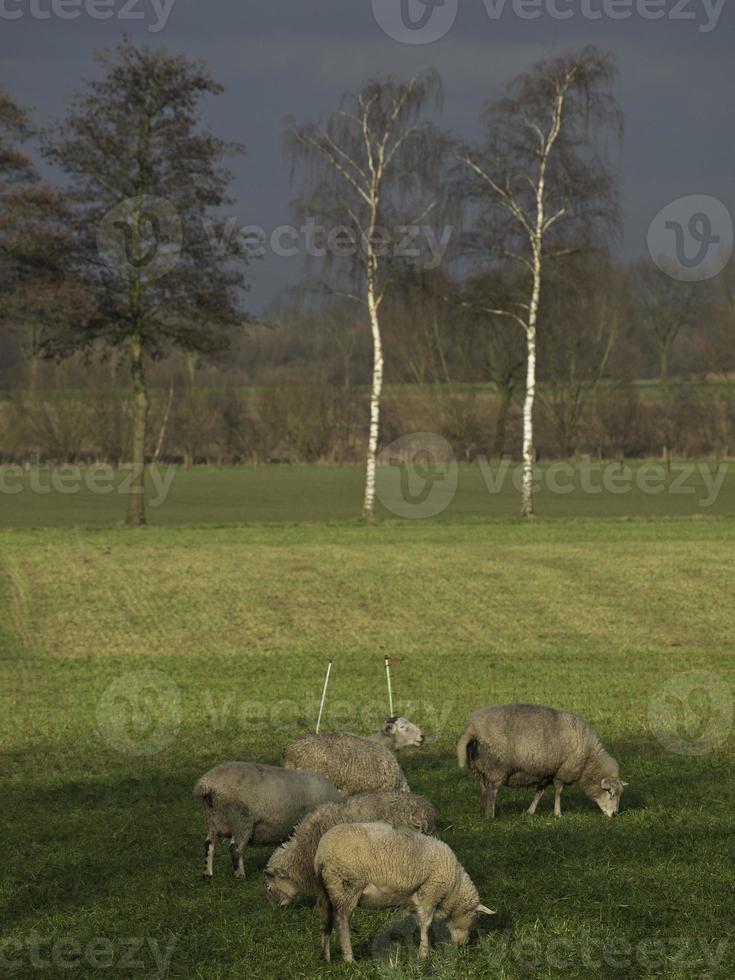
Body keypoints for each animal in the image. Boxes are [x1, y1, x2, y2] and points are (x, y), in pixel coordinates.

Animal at [190, 756, 340, 880]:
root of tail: (207, 783)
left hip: (213, 820)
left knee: (209, 845)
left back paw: (207, 874)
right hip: (240, 820)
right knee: (235, 848)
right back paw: (240, 875)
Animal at [312, 824, 494, 960]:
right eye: (475, 917)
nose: (463, 946)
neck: (454, 888)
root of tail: (321, 854)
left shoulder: (415, 899)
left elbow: (419, 922)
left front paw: (422, 945)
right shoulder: (430, 891)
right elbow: (426, 923)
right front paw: (424, 954)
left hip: (325, 892)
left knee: (326, 922)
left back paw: (326, 958)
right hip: (346, 886)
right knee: (341, 922)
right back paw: (349, 959)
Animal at [458, 704, 628, 820]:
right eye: (609, 792)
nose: (615, 814)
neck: (588, 760)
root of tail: (473, 728)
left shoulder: (546, 772)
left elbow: (539, 792)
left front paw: (530, 811)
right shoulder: (562, 771)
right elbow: (558, 791)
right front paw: (557, 813)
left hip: (480, 767)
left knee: (483, 788)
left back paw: (483, 810)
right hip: (496, 767)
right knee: (492, 791)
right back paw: (490, 815)